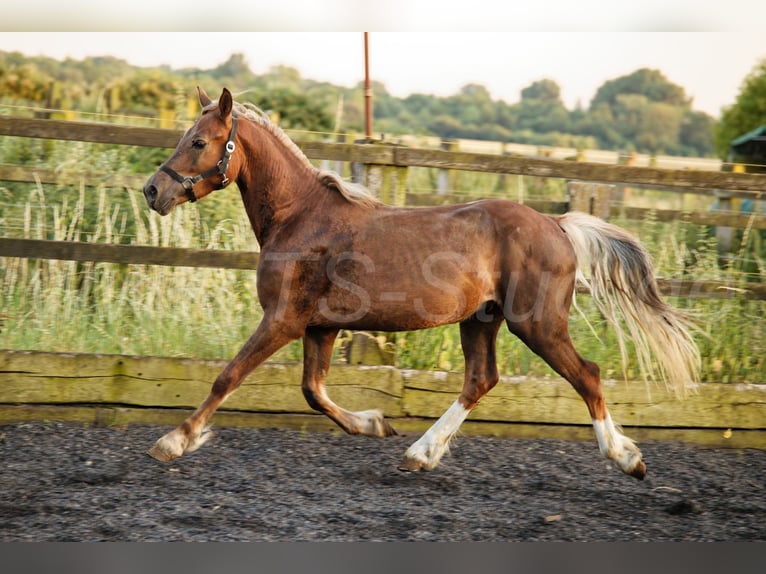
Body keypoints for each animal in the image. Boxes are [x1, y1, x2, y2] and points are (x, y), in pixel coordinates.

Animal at [142, 87, 700, 480]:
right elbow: (313, 392)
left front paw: (174, 441)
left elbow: (228, 376)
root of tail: (558, 225)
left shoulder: (283, 320)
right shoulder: (320, 328)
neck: (300, 217)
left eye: (199, 141)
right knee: (481, 380)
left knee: (587, 374)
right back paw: (420, 453)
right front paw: (376, 423)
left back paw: (627, 458)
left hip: (536, 323)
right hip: (482, 320)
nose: (153, 190)